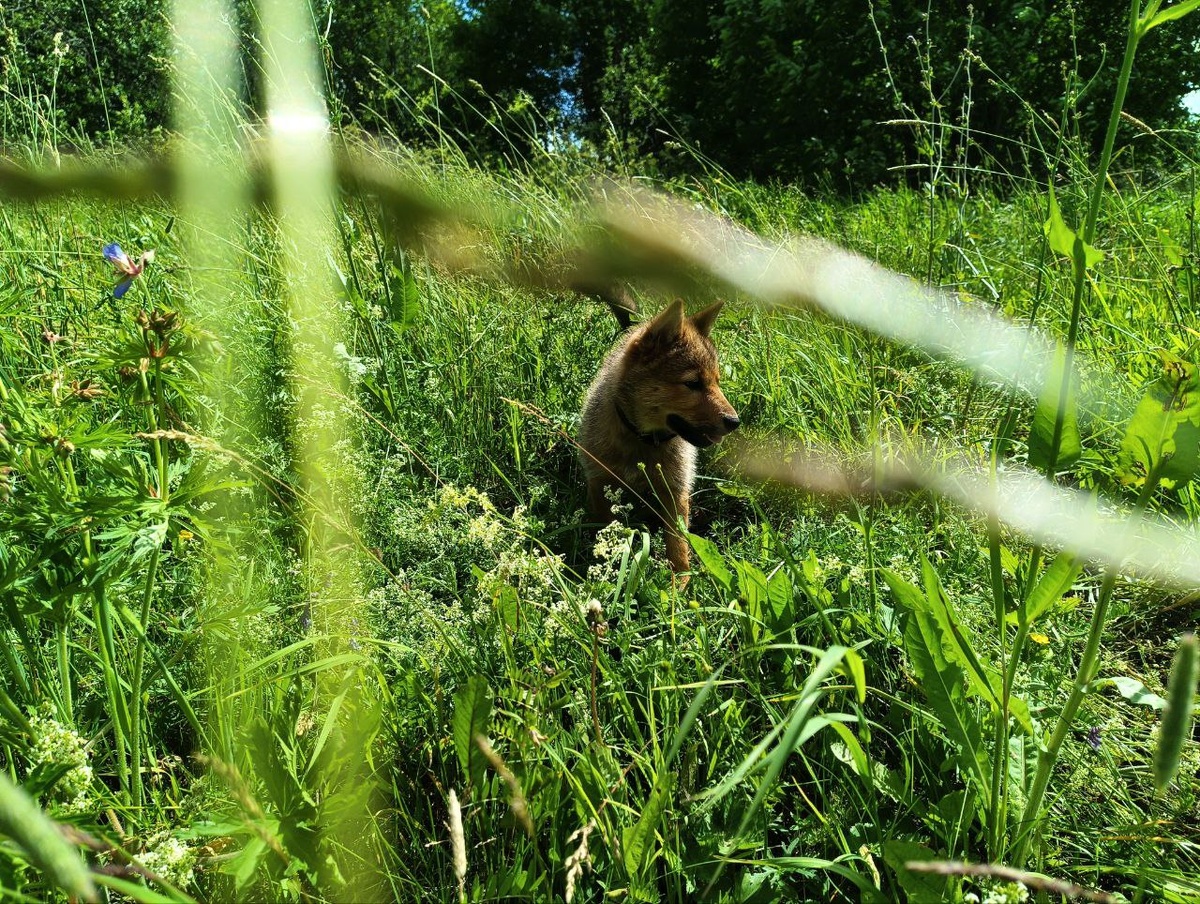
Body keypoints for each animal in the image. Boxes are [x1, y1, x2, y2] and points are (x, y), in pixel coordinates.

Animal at [580, 301, 739, 571]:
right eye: (693, 383)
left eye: (717, 382)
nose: (735, 422)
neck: (642, 441)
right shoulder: (597, 481)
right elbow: (606, 523)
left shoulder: (675, 491)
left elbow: (678, 547)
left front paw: (681, 580)